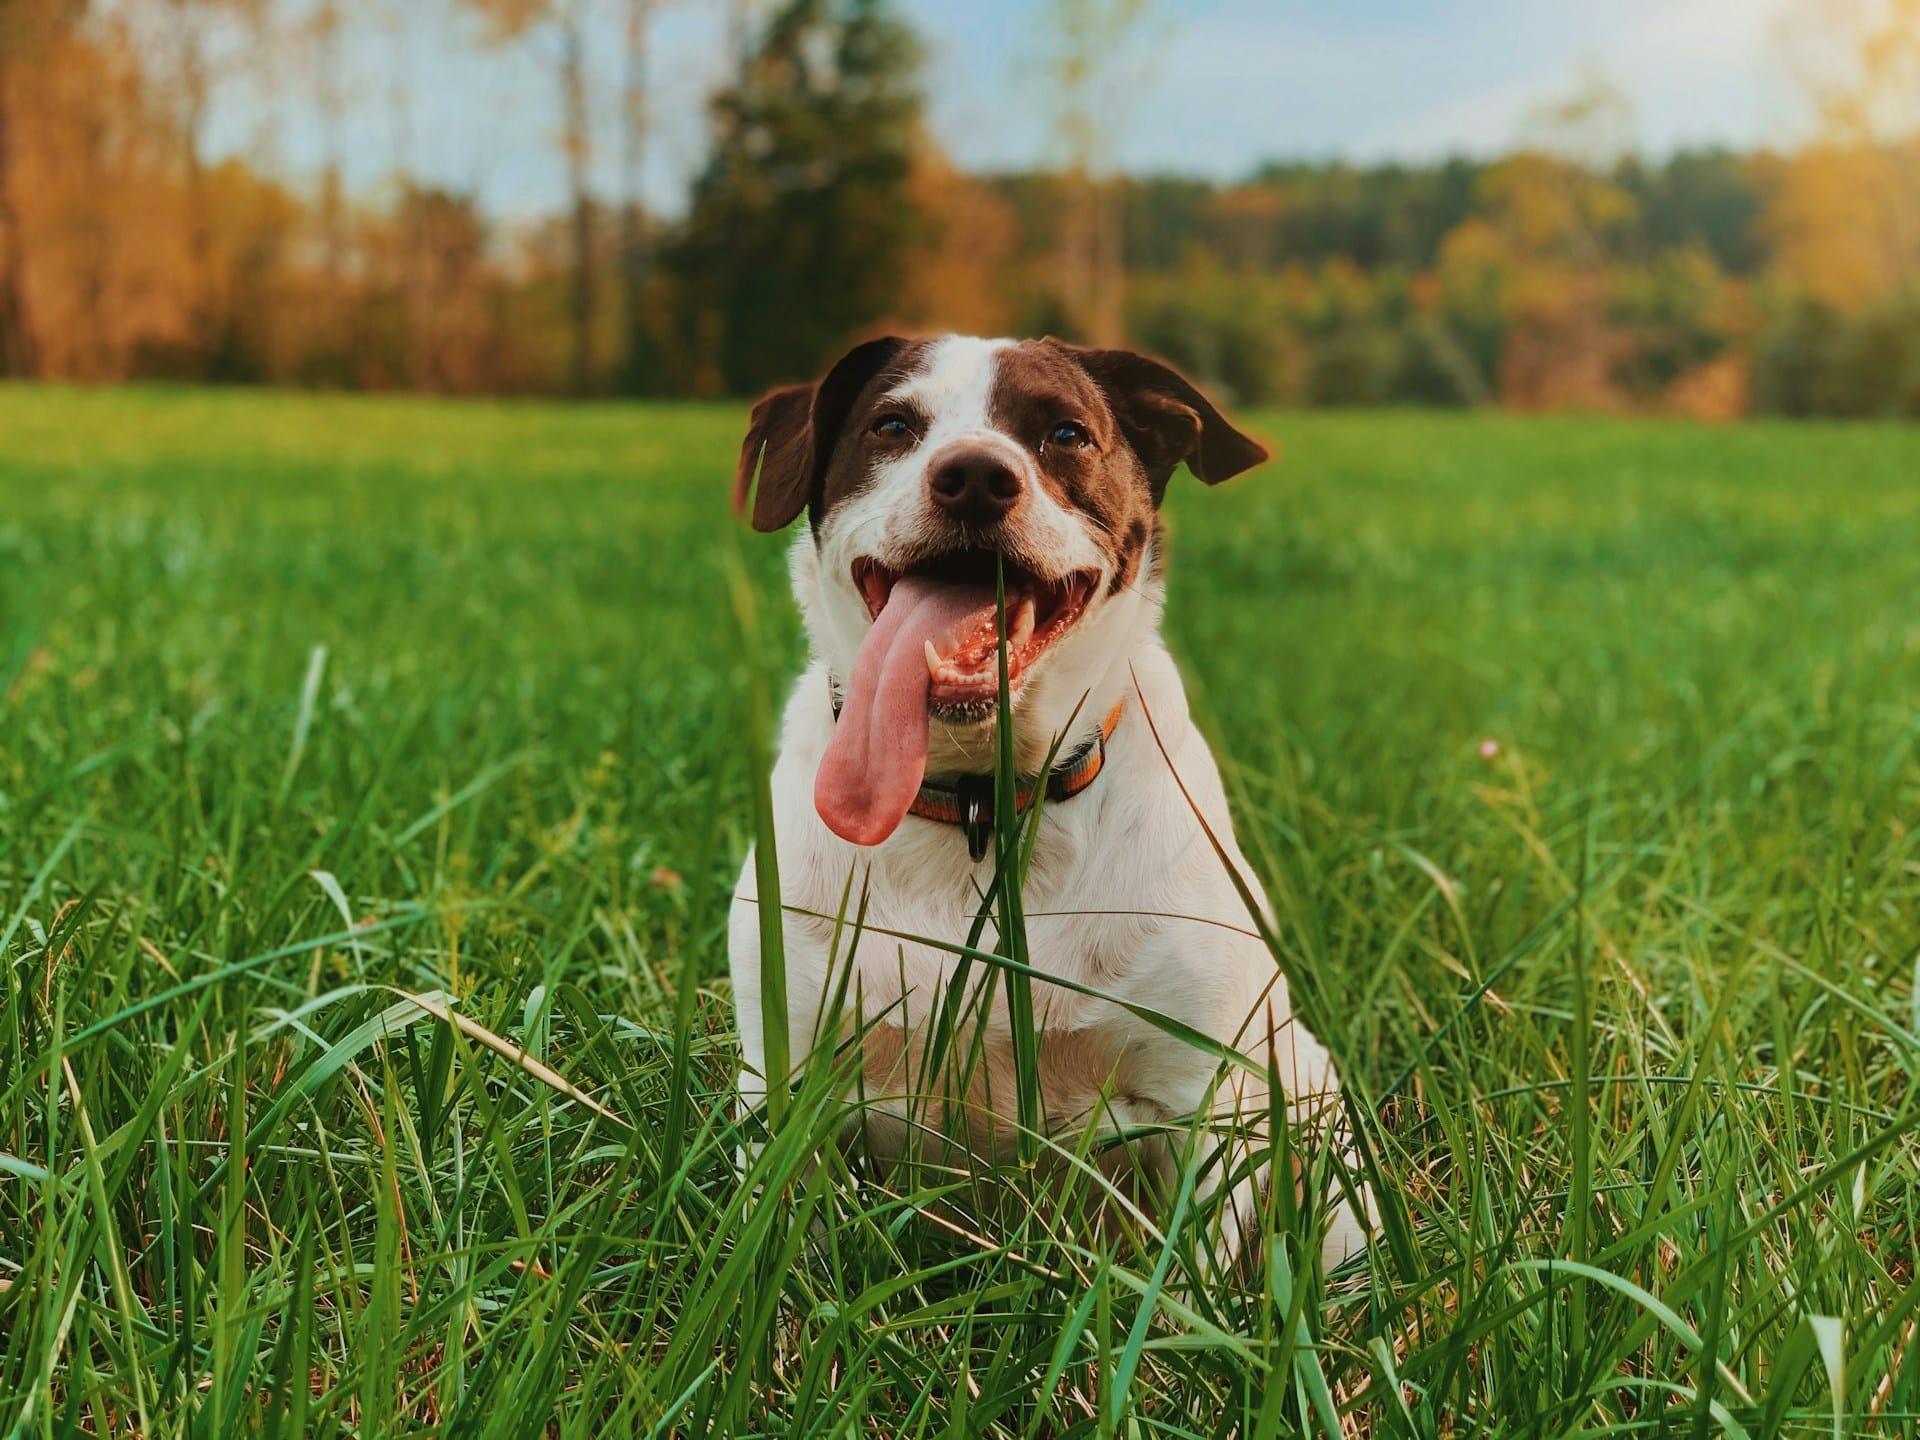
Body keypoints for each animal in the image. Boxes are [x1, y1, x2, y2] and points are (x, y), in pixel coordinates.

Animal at [721, 336, 1367, 1274]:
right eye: (892, 425)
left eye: (1066, 433)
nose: (975, 477)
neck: (979, 806)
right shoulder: (787, 1082)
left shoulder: (1201, 1101)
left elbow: (1198, 1278)